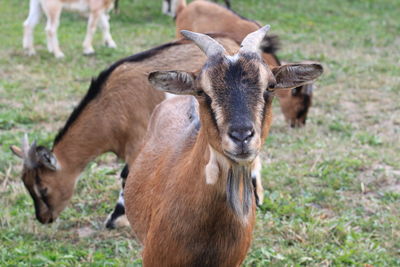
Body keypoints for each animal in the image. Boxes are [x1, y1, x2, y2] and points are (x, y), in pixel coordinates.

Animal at [10, 32, 268, 227]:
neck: (110, 107)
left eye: (43, 188)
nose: (43, 218)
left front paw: (117, 218)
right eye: (26, 184)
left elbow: (126, 176)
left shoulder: (137, 142)